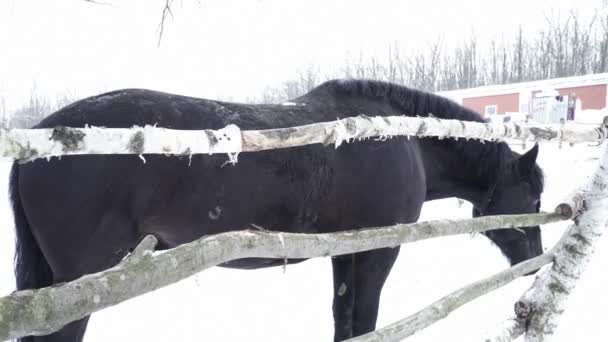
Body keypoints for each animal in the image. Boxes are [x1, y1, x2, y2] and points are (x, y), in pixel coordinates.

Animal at [9, 79, 544, 340]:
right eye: (534, 196)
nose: (534, 264)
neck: (396, 137)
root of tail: (37, 138)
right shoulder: (379, 252)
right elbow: (365, 318)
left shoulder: (345, 252)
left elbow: (345, 320)